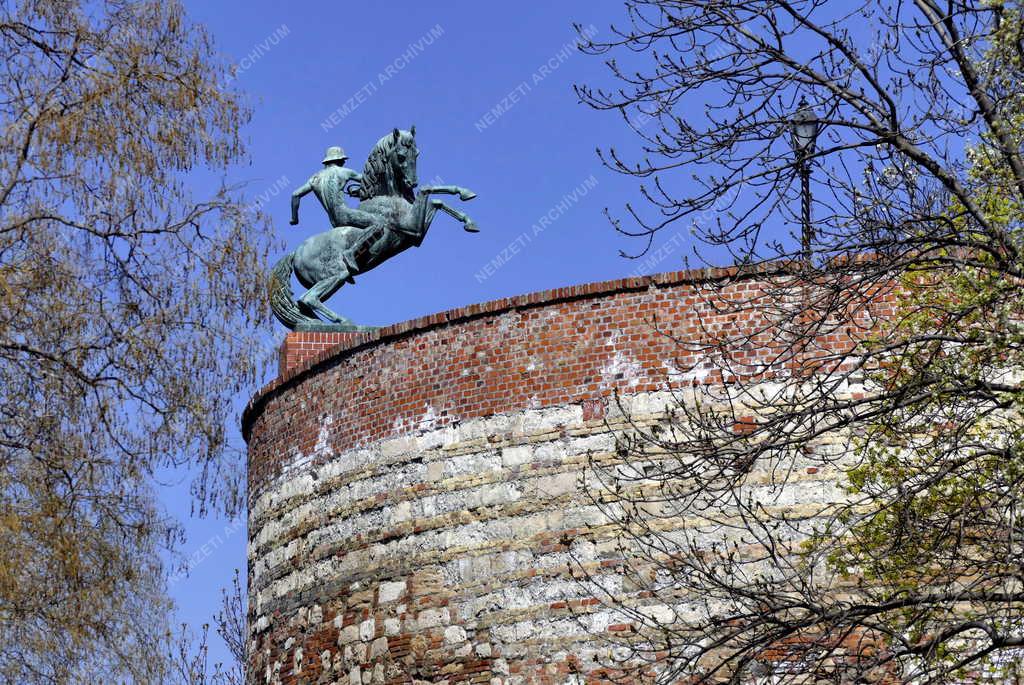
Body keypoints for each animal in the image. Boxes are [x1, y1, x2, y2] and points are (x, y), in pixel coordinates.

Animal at [272, 130, 479, 331]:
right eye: (401, 156)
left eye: (417, 153)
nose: (412, 182)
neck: (385, 197)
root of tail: (295, 253)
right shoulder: (411, 226)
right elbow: (429, 191)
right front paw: (466, 197)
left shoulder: (416, 234)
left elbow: (437, 201)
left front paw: (469, 219)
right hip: (335, 274)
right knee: (308, 298)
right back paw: (344, 321)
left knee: (303, 305)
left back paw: (318, 323)